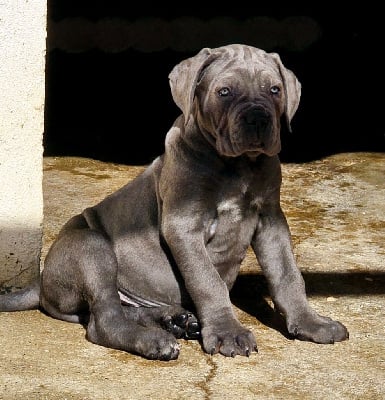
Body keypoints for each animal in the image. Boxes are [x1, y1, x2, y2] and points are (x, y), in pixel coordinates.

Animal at [0, 43, 348, 360]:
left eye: (274, 89)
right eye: (224, 92)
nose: (258, 118)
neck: (237, 167)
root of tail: (42, 281)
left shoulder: (271, 220)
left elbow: (288, 275)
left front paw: (310, 323)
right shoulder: (183, 225)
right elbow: (207, 280)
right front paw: (228, 333)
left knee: (125, 310)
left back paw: (174, 320)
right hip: (91, 245)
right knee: (104, 319)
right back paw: (154, 340)